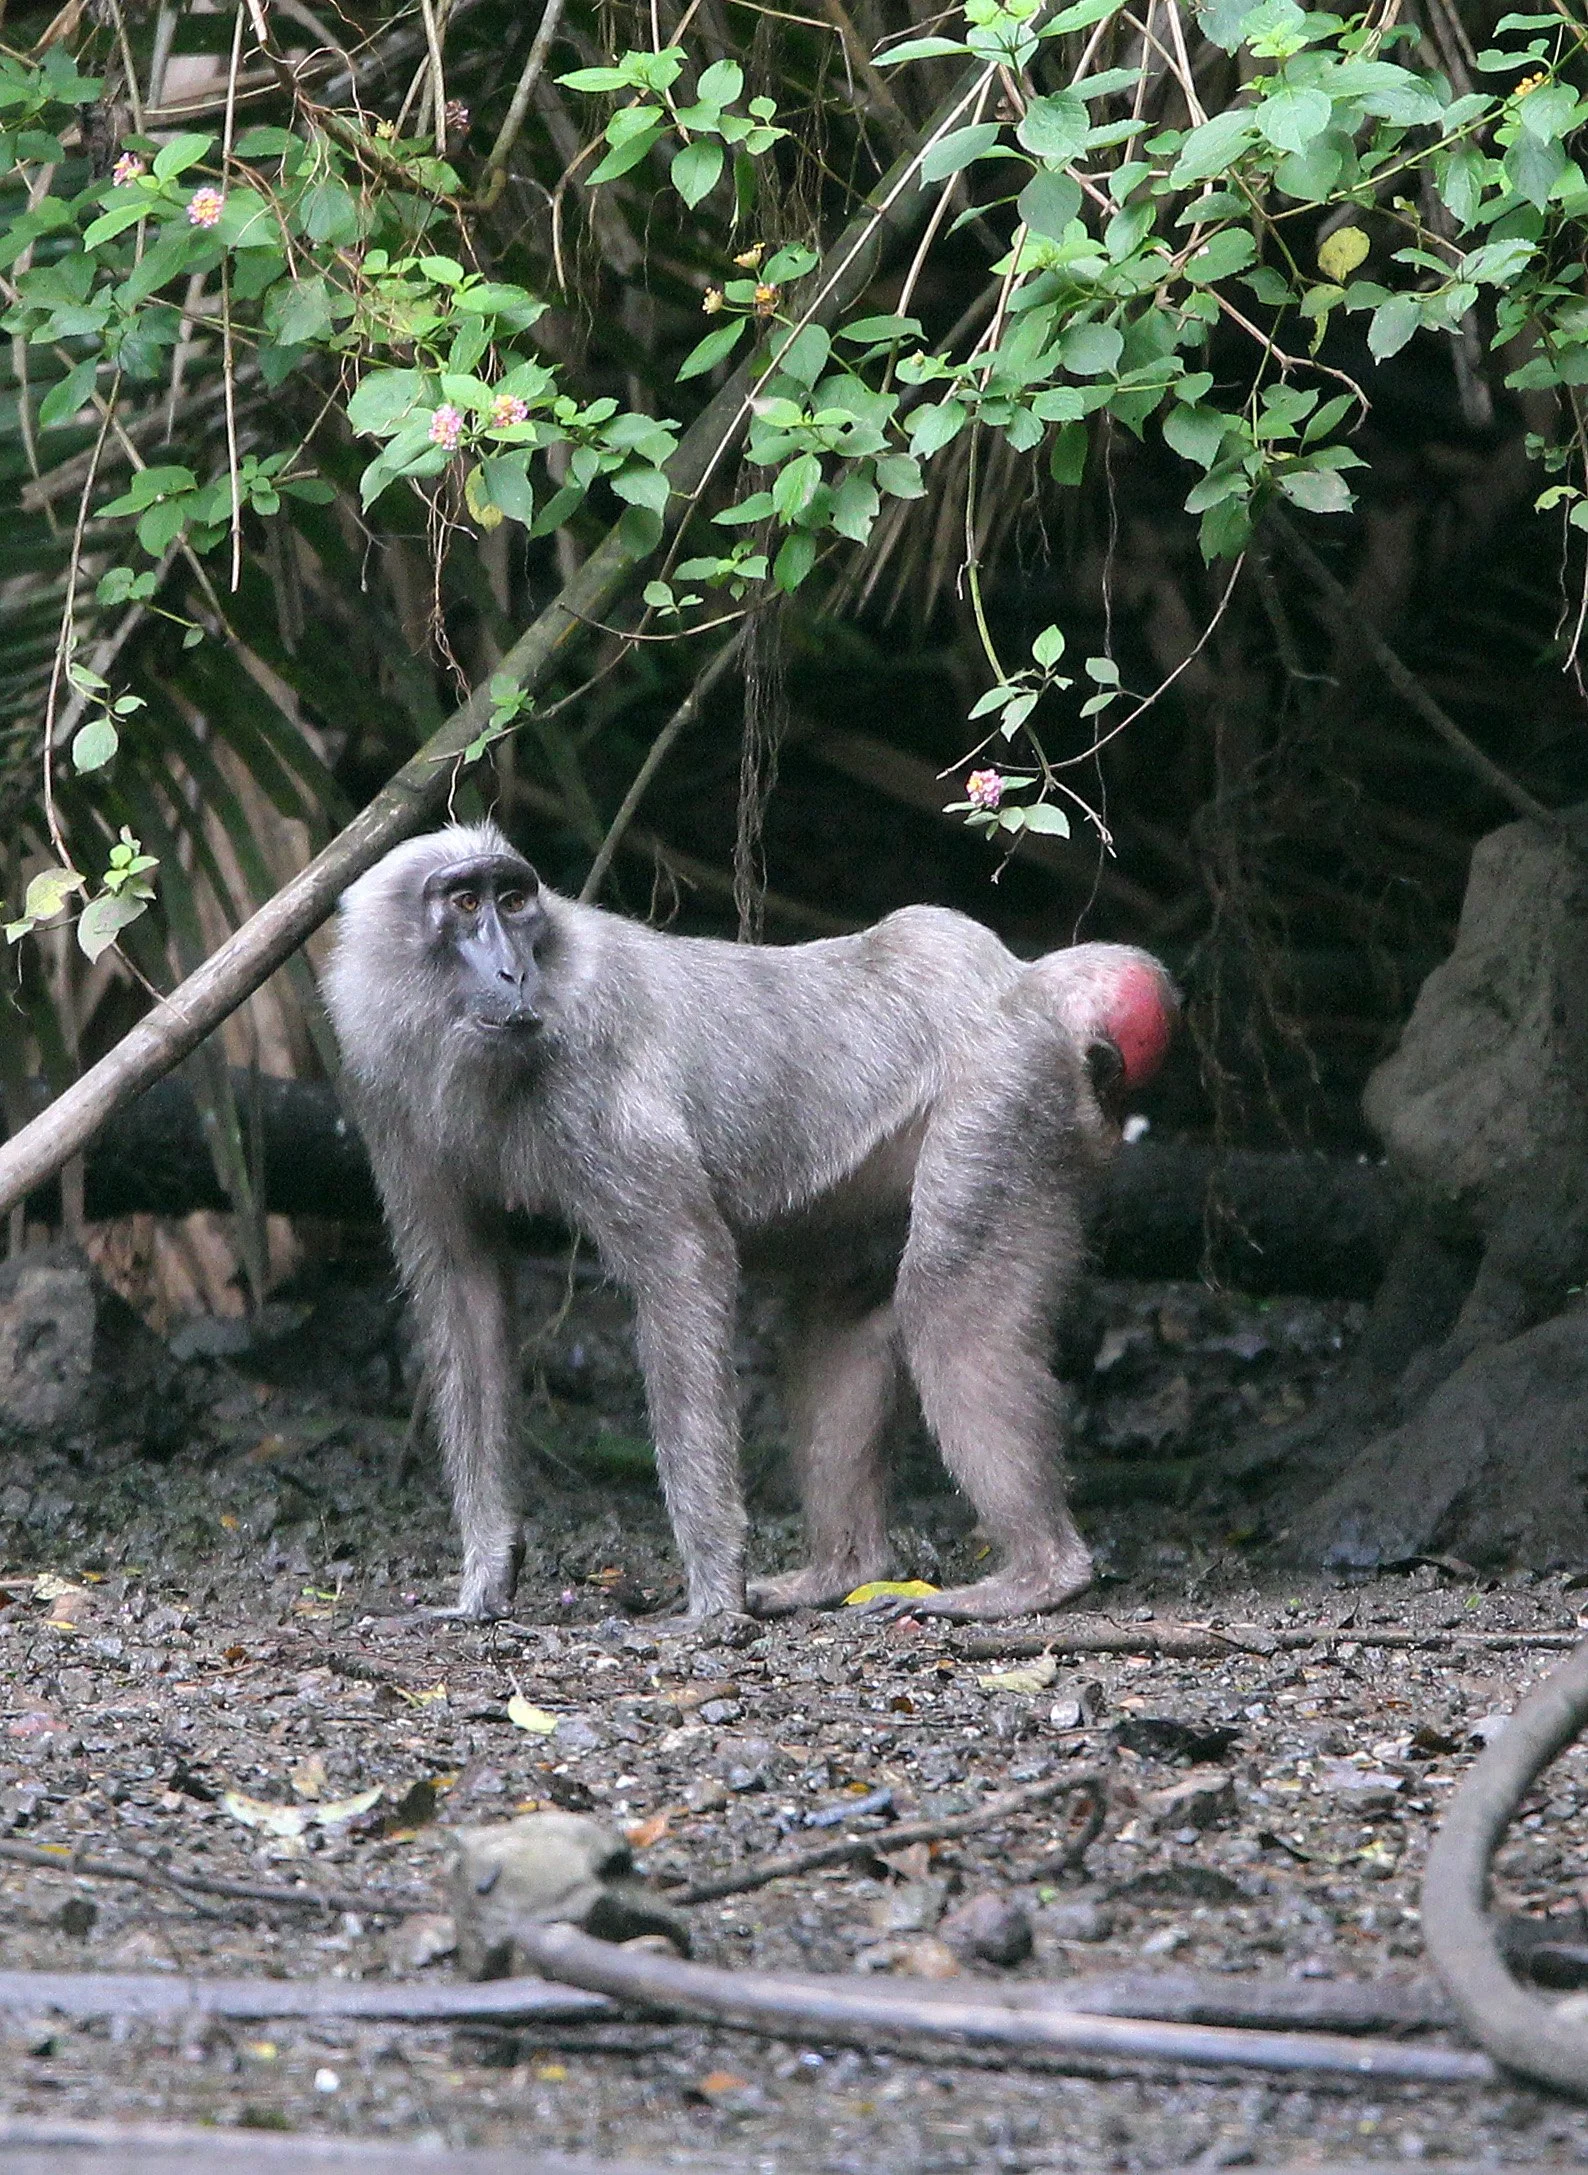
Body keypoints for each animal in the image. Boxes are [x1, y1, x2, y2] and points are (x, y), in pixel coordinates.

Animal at [323, 821, 1177, 1628]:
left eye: (513, 900)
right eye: (466, 902)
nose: (512, 971)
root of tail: (1020, 984)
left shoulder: (587, 1070)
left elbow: (683, 1263)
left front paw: (711, 1599)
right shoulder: (382, 1091)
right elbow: (464, 1293)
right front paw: (487, 1576)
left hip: (1004, 1096)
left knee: (949, 1309)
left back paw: (1040, 1573)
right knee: (840, 1324)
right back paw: (845, 1570)